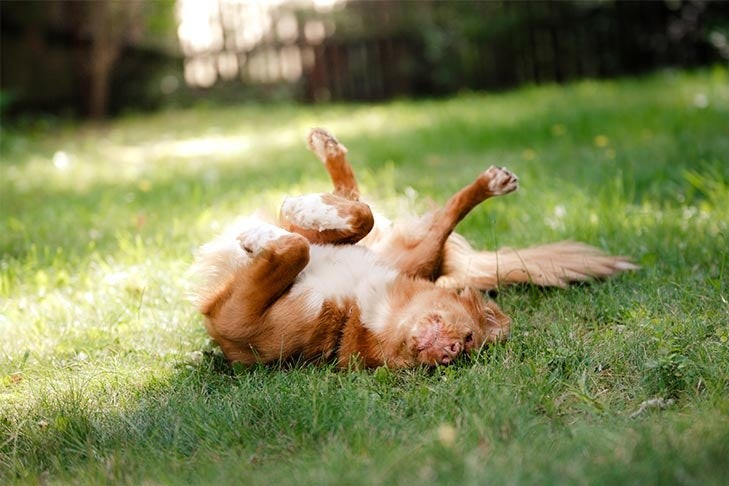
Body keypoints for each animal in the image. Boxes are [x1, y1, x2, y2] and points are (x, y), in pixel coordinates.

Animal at [191, 127, 636, 366]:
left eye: (467, 347)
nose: (450, 352)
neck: (358, 308)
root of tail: (440, 268)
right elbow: (344, 220)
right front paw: (300, 211)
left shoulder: (238, 321)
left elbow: (294, 248)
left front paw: (260, 238)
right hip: (409, 253)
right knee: (363, 203)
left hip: (419, 254)